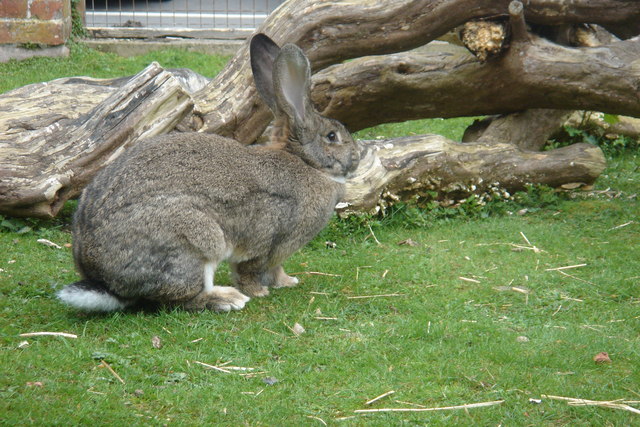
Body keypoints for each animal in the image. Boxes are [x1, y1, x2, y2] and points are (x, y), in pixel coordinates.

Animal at [57, 33, 360, 312]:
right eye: (332, 136)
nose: (357, 156)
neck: (307, 163)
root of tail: (104, 281)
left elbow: (276, 270)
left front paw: (287, 282)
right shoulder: (265, 241)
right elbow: (250, 269)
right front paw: (258, 292)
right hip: (195, 240)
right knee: (181, 297)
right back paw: (228, 299)